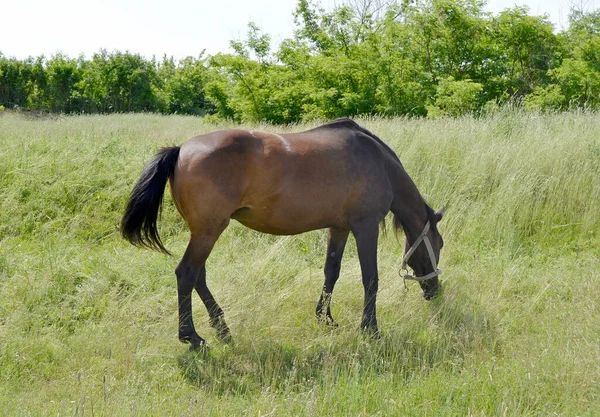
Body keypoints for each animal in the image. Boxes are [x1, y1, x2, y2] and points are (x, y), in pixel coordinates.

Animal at [119, 118, 442, 350]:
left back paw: (222, 328)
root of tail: (180, 150)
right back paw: (192, 337)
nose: (434, 292)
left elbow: (331, 272)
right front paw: (370, 329)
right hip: (208, 231)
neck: (379, 163)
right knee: (186, 273)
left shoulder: (338, 228)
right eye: (438, 245)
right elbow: (370, 278)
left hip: (203, 232)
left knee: (198, 276)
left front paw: (325, 318)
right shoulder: (365, 227)